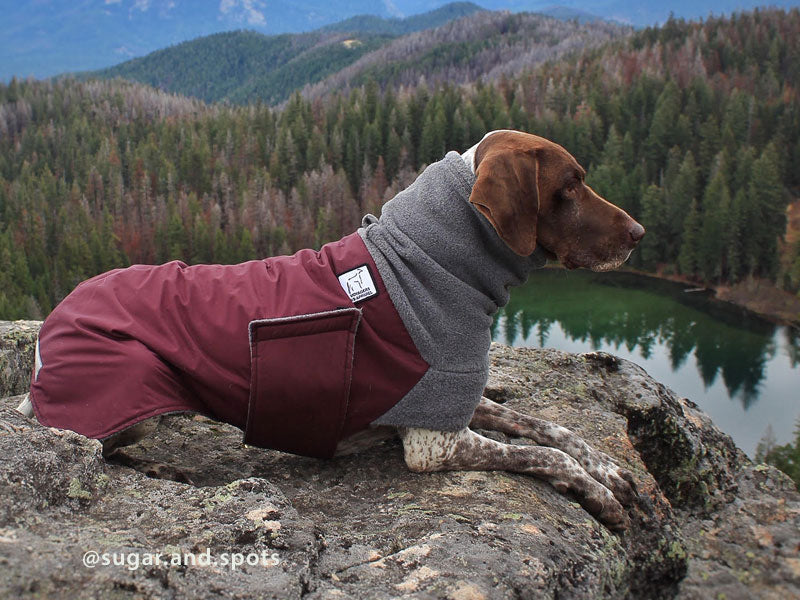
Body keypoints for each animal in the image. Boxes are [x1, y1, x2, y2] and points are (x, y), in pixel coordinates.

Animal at [17, 130, 644, 528]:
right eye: (570, 185)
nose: (639, 233)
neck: (428, 266)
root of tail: (55, 321)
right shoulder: (434, 444)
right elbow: (545, 456)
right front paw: (599, 494)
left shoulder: (449, 396)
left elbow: (551, 430)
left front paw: (608, 468)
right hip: (123, 402)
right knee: (98, 452)